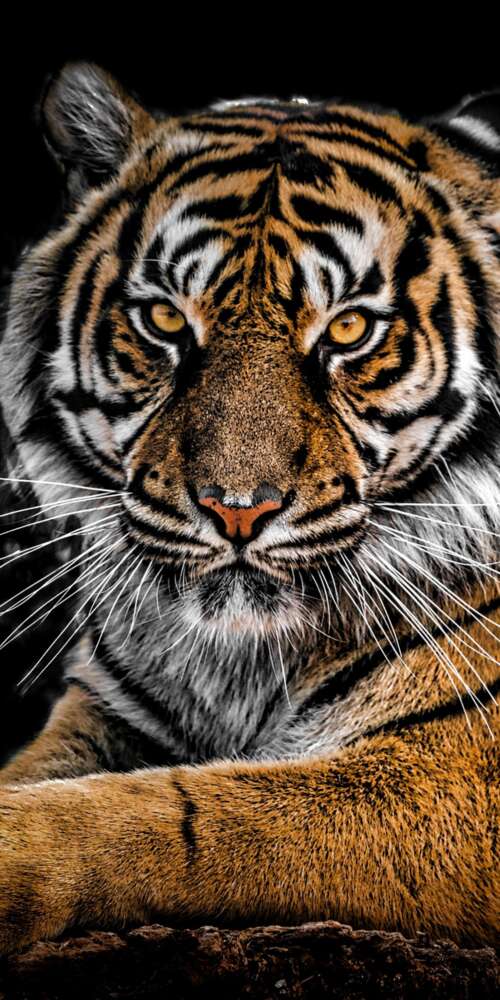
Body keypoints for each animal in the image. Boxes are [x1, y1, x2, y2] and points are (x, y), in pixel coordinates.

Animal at [0, 61, 498, 956]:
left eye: (350, 329)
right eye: (164, 318)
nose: (236, 510)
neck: (238, 662)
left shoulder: (451, 771)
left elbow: (179, 817)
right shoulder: (105, 711)